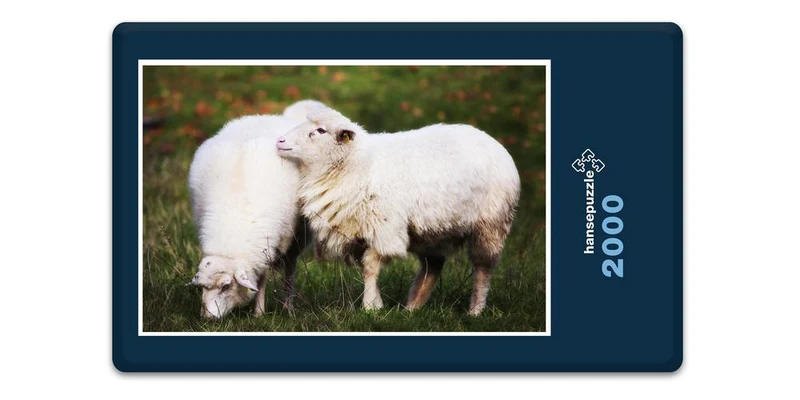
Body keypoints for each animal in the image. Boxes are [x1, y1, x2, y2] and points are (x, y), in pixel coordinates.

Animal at [187, 101, 324, 319]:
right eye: (201, 288)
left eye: (226, 286)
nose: (207, 318)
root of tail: (266, 116)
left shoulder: (269, 244)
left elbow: (262, 279)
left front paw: (259, 313)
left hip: (297, 236)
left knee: (290, 267)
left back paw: (288, 306)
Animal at [275, 107, 521, 316]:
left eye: (320, 131)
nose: (280, 141)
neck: (355, 165)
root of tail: (492, 141)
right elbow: (367, 266)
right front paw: (376, 303)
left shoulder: (385, 228)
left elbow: (369, 267)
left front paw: (370, 306)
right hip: (432, 231)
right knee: (433, 266)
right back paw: (412, 308)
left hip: (490, 224)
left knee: (482, 268)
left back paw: (475, 311)